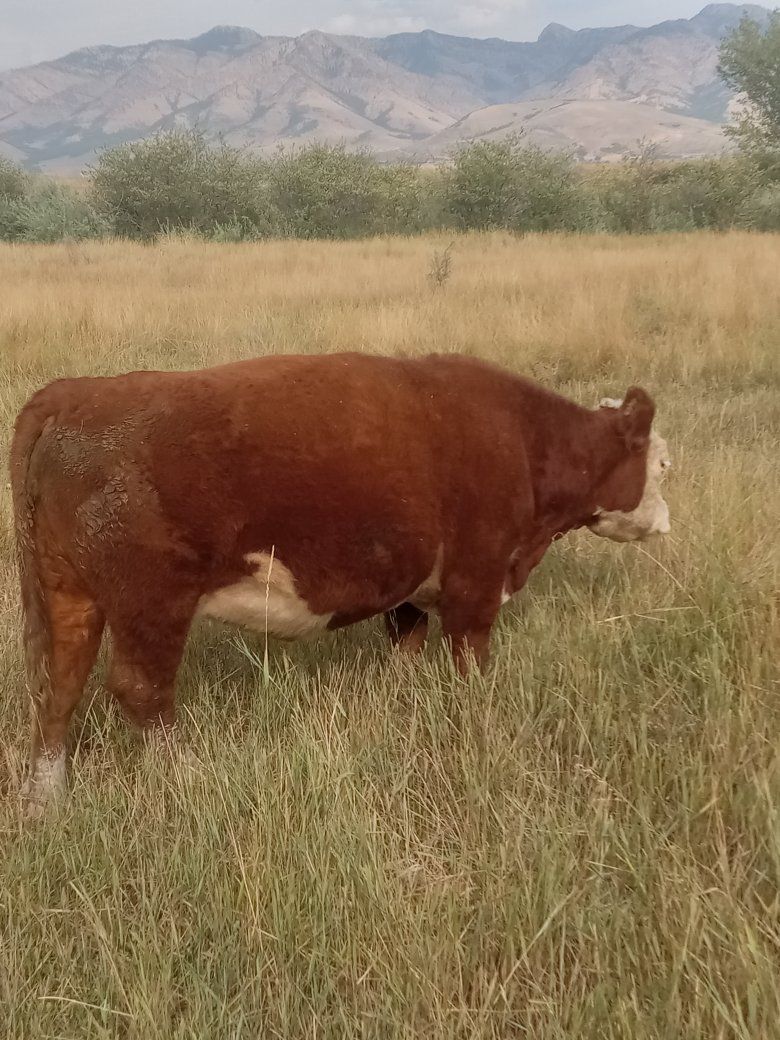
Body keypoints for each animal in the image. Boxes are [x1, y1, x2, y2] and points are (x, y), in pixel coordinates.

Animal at [10, 352, 670, 809]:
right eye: (662, 463)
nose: (666, 521)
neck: (525, 442)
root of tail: (76, 393)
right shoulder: (475, 584)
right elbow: (471, 663)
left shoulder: (412, 592)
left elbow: (407, 647)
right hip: (152, 601)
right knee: (140, 689)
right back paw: (188, 774)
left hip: (67, 594)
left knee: (56, 685)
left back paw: (47, 801)